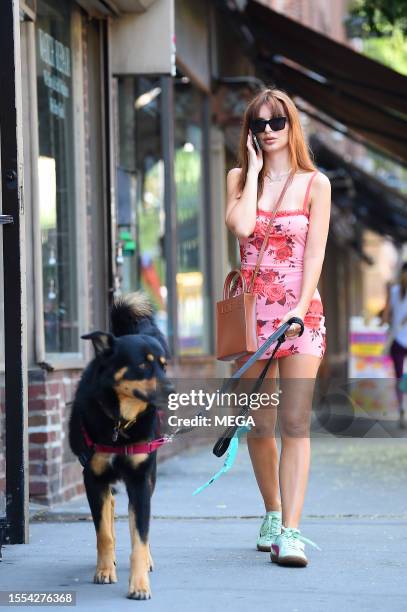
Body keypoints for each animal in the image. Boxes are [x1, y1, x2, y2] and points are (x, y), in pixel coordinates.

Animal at [68, 290, 172, 596]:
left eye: (163, 366)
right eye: (143, 364)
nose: (172, 388)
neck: (119, 422)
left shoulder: (139, 480)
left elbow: (140, 535)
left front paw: (139, 584)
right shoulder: (93, 478)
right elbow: (103, 532)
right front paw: (104, 570)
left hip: (149, 477)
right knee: (111, 508)